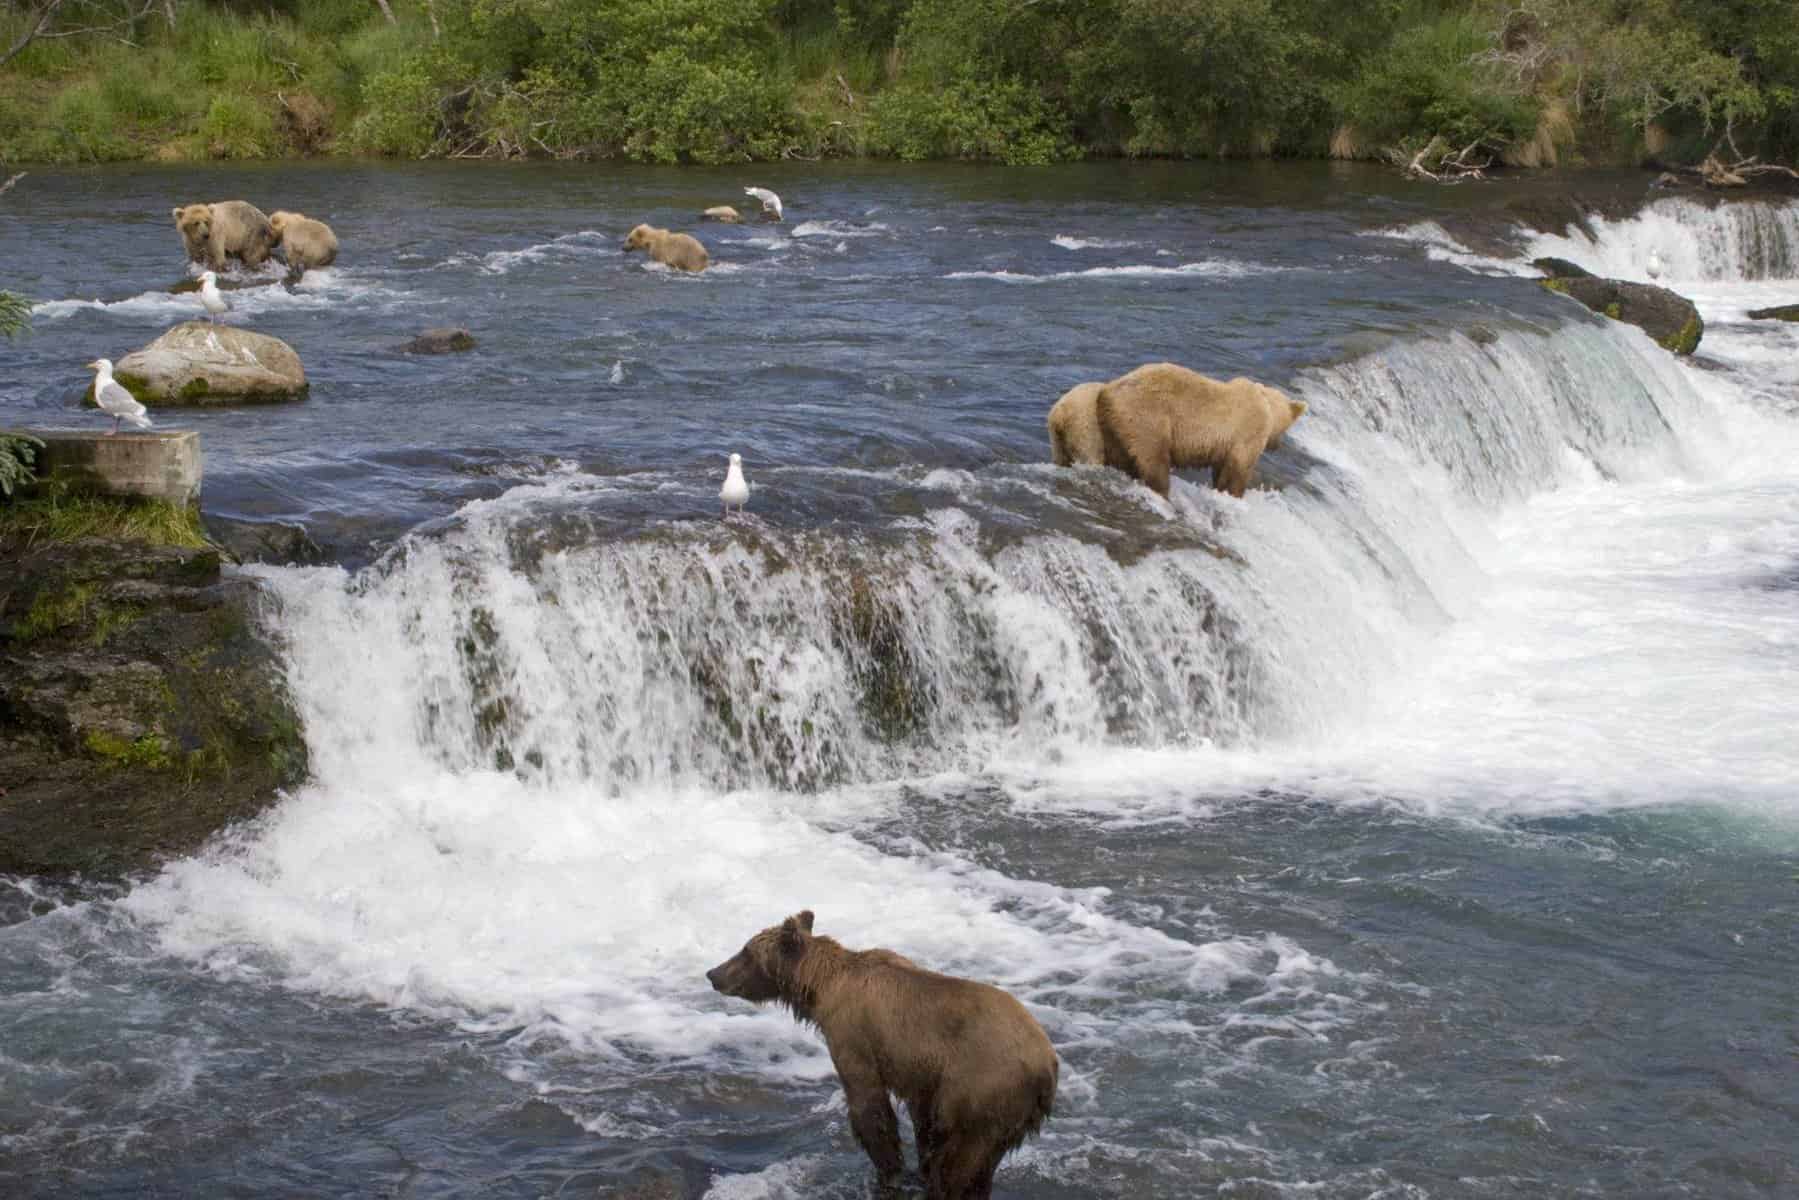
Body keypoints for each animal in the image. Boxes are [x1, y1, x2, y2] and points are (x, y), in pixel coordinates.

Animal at [708, 910, 1057, 1200]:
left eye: (745, 951)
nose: (713, 973)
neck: (822, 987)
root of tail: (1048, 1065)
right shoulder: (926, 1077)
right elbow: (923, 1123)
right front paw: (916, 1167)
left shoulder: (853, 1035)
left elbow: (869, 1107)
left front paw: (889, 1172)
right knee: (977, 1165)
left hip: (985, 1087)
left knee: (959, 1160)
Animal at [1086, 363, 1302, 500]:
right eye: (1286, 427)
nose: (1277, 445)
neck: (1267, 405)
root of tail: (1107, 390)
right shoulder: (1247, 431)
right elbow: (1238, 468)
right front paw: (1234, 494)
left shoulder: (1224, 443)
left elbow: (1221, 467)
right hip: (1146, 418)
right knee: (1155, 460)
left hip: (1114, 425)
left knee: (1120, 456)